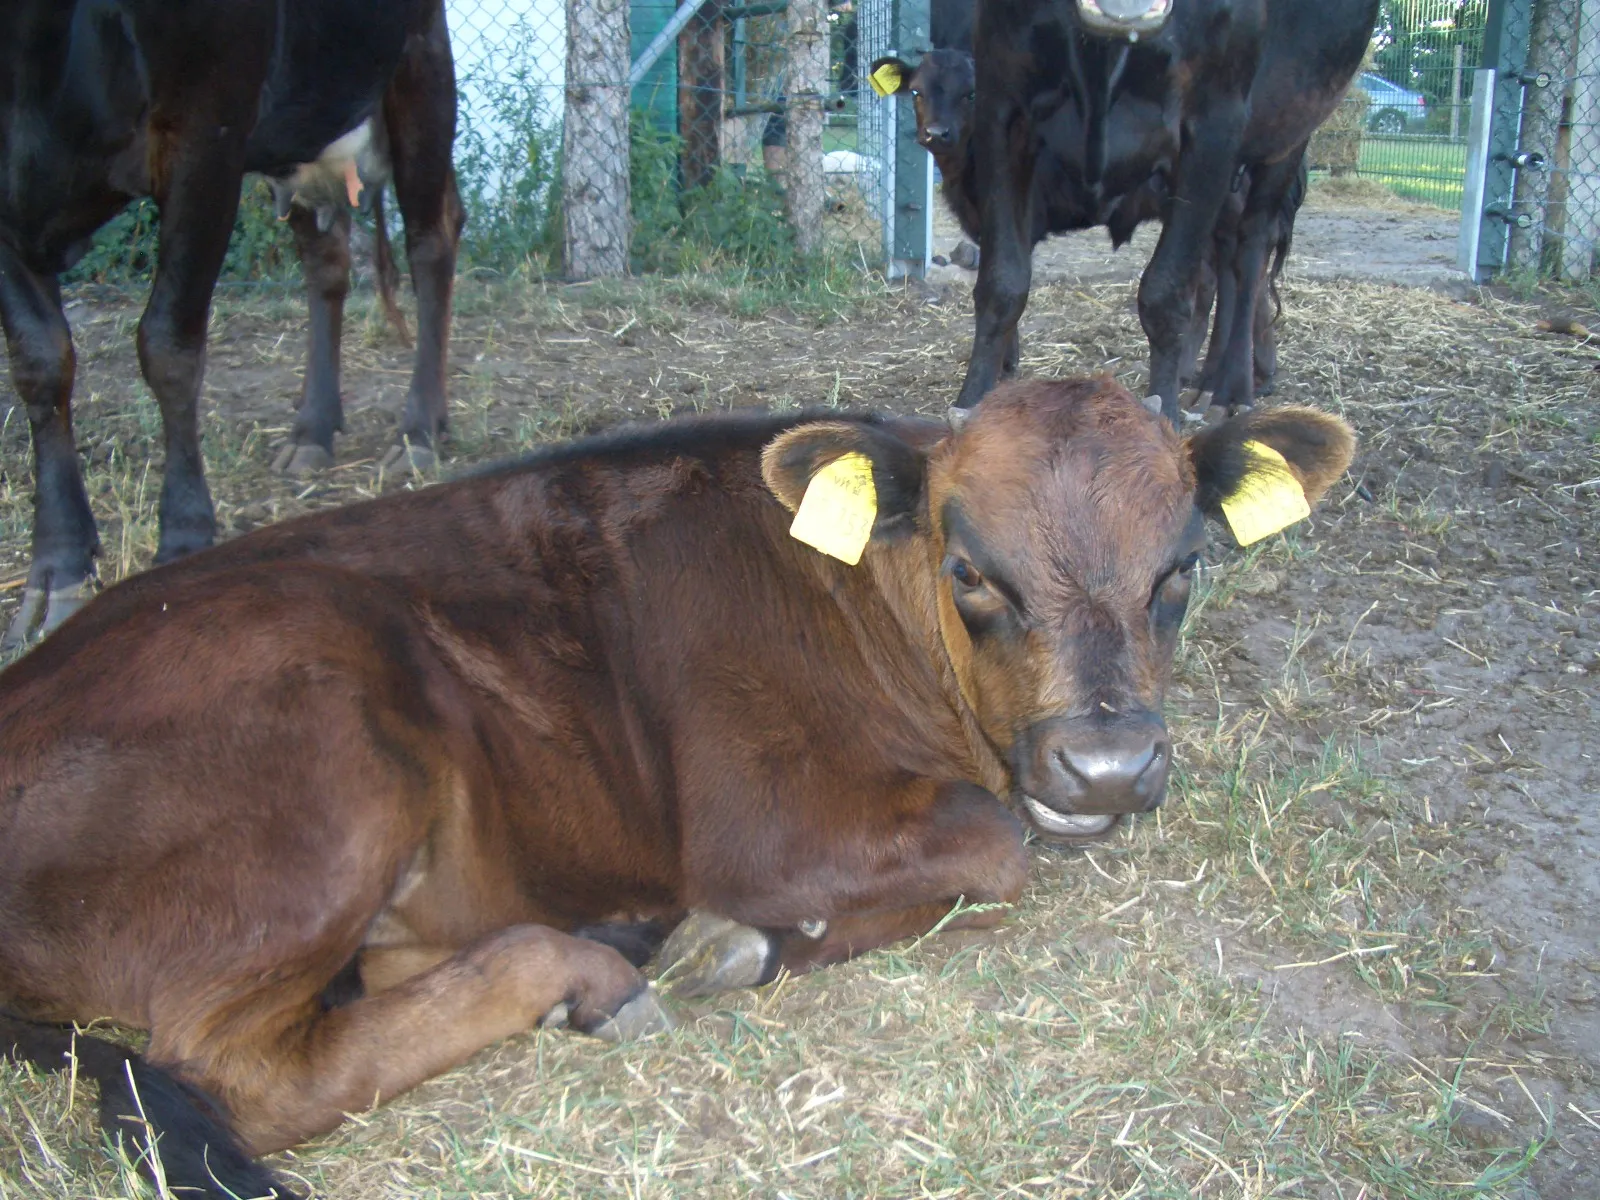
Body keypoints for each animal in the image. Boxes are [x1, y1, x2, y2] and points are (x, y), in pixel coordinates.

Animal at [0, 0, 463, 651]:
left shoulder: (206, 137)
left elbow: (168, 345)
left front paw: (183, 541)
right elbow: (39, 361)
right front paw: (58, 571)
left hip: (418, 64)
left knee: (431, 240)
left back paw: (419, 430)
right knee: (326, 260)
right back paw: (312, 429)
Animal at [0, 376, 1355, 1198]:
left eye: (1182, 567)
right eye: (971, 570)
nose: (1108, 767)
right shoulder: (758, 828)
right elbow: (992, 846)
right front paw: (737, 941)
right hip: (331, 757)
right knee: (241, 1070)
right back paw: (593, 972)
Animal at [954, 0, 1379, 422]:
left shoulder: (1217, 116)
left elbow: (1165, 293)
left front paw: (1166, 414)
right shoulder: (1001, 98)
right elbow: (1003, 282)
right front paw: (973, 402)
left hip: (1288, 133)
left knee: (1251, 252)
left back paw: (1232, 390)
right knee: (1226, 259)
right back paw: (1207, 380)